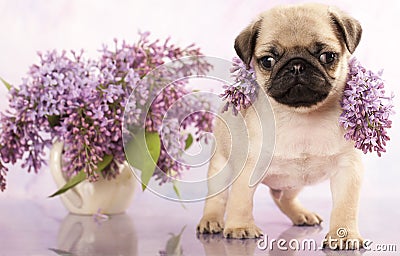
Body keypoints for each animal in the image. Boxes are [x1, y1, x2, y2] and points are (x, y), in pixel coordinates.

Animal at [198, 3, 364, 249]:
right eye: (268, 61)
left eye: (327, 56)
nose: (296, 66)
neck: (301, 117)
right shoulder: (247, 169)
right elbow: (240, 200)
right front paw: (240, 227)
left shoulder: (348, 170)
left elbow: (346, 206)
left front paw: (343, 235)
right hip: (221, 168)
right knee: (217, 199)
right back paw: (210, 220)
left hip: (295, 181)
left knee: (282, 197)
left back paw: (301, 214)